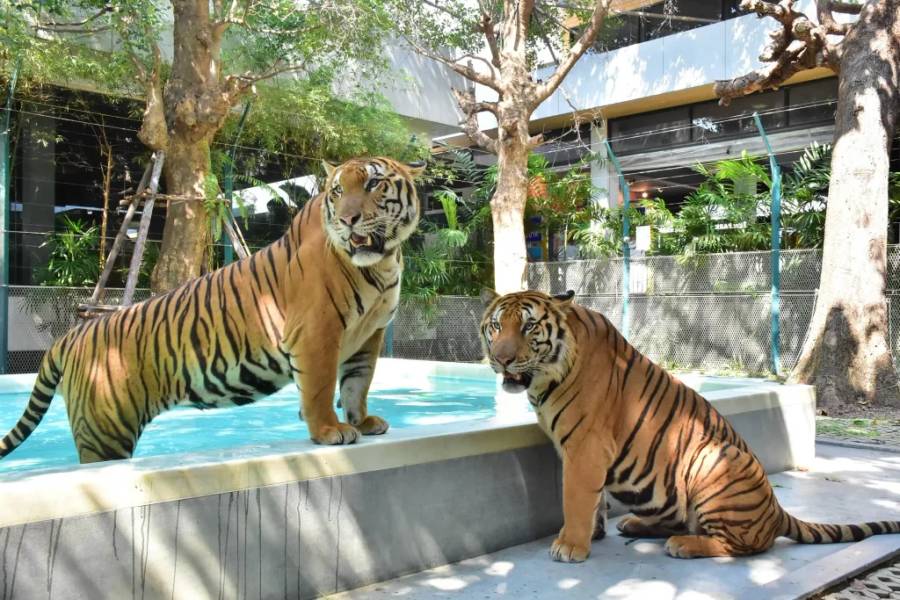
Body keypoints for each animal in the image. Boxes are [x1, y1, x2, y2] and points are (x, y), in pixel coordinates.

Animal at [0, 156, 425, 464]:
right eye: (337, 192)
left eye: (372, 184)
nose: (348, 219)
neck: (383, 263)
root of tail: (73, 335)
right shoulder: (317, 332)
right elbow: (320, 388)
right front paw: (328, 430)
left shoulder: (369, 335)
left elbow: (357, 384)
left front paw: (362, 421)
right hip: (105, 433)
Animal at [480, 289, 900, 562]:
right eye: (496, 327)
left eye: (529, 328)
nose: (501, 359)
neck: (546, 376)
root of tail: (776, 510)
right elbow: (594, 501)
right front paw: (594, 534)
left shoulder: (585, 448)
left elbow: (576, 499)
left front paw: (570, 546)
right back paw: (633, 524)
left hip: (714, 458)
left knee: (745, 545)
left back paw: (684, 546)